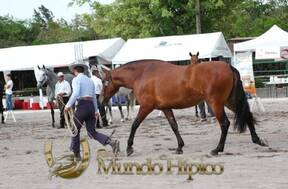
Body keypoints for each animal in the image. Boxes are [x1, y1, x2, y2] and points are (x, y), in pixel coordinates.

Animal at [100, 56, 268, 157]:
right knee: (247, 115)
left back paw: (217, 149)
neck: (143, 74)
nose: (101, 99)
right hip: (229, 101)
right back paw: (257, 140)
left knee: (225, 124)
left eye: (104, 82)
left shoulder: (146, 107)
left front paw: (129, 148)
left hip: (216, 103)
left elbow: (135, 125)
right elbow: (174, 126)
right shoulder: (166, 108)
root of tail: (228, 66)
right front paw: (179, 147)